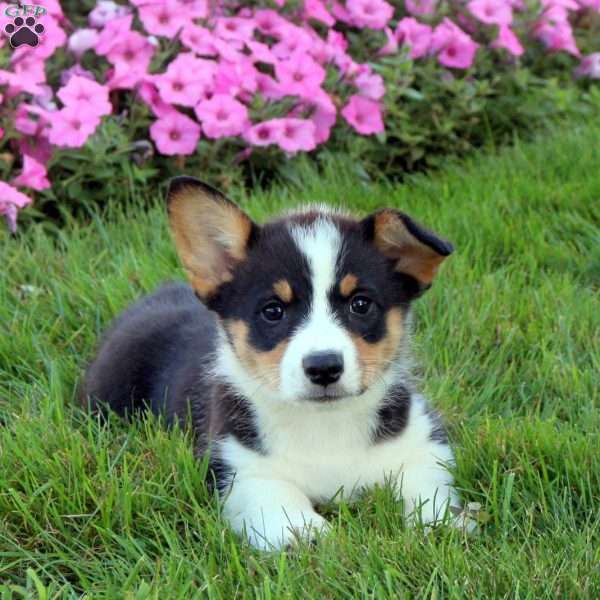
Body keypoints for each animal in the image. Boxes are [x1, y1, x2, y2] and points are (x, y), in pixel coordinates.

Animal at [83, 177, 460, 548]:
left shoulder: (423, 444)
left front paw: (444, 524)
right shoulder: (239, 467)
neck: (325, 425)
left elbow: (428, 493)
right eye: (273, 311)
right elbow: (285, 506)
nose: (324, 367)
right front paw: (310, 533)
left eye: (361, 304)